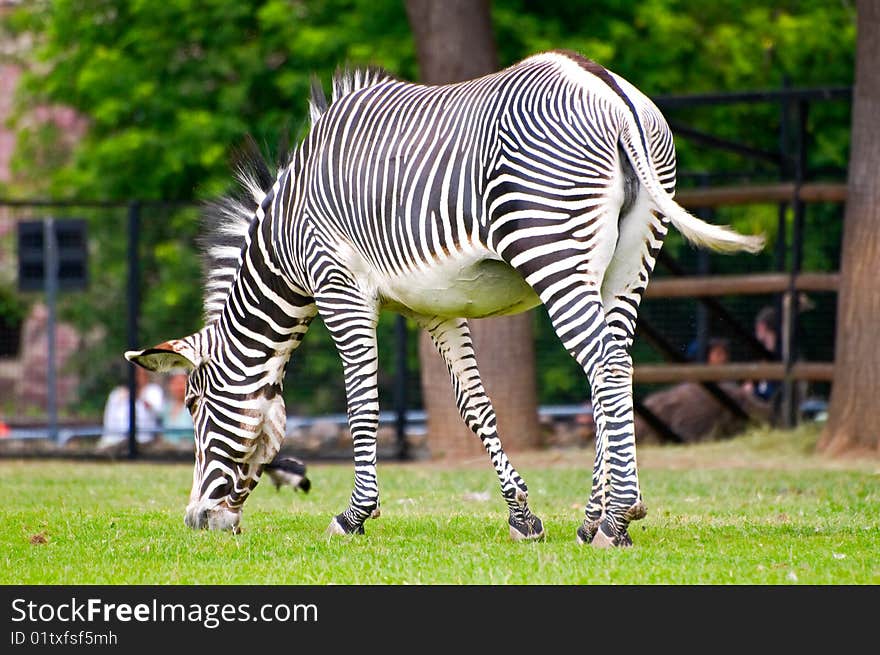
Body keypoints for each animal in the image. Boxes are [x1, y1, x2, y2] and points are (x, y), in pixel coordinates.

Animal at [125, 51, 764, 544]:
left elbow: (363, 399)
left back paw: (617, 518)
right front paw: (522, 517)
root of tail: (607, 88)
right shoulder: (436, 309)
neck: (284, 238)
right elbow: (474, 407)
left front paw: (354, 517)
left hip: (551, 247)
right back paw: (592, 519)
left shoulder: (339, 287)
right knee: (616, 365)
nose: (197, 521)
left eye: (192, 406)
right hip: (630, 261)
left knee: (603, 364)